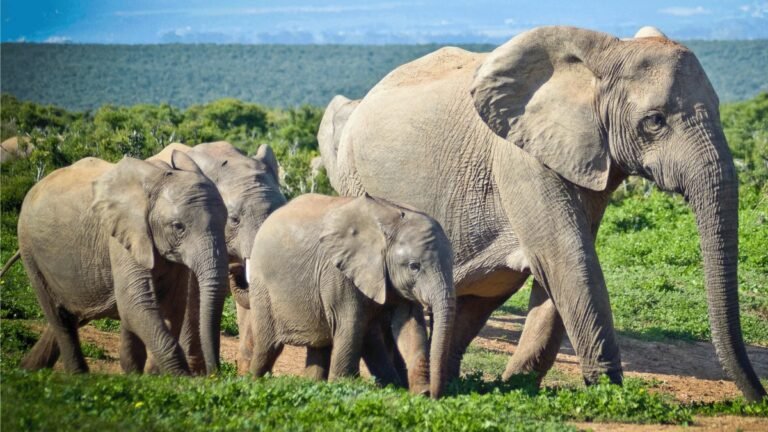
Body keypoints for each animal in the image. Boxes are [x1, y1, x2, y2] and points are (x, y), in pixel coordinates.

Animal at [17, 153, 229, 375]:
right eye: (178, 226)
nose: (214, 374)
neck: (157, 178)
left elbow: (171, 306)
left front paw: (151, 377)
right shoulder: (123, 235)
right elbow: (134, 304)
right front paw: (180, 379)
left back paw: (28, 369)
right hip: (29, 249)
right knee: (60, 318)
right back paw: (76, 376)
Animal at [246, 193, 455, 398]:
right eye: (414, 266)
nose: (435, 395)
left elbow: (410, 325)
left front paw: (420, 392)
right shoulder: (338, 273)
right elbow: (350, 323)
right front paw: (343, 387)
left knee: (322, 346)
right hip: (262, 287)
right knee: (268, 347)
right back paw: (253, 382)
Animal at [318, 26, 766, 401]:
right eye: (654, 121)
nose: (757, 398)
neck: (605, 56)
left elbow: (565, 262)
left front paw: (514, 385)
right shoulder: (520, 158)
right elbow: (568, 257)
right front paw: (608, 391)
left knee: (482, 292)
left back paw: (450, 382)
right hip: (354, 177)